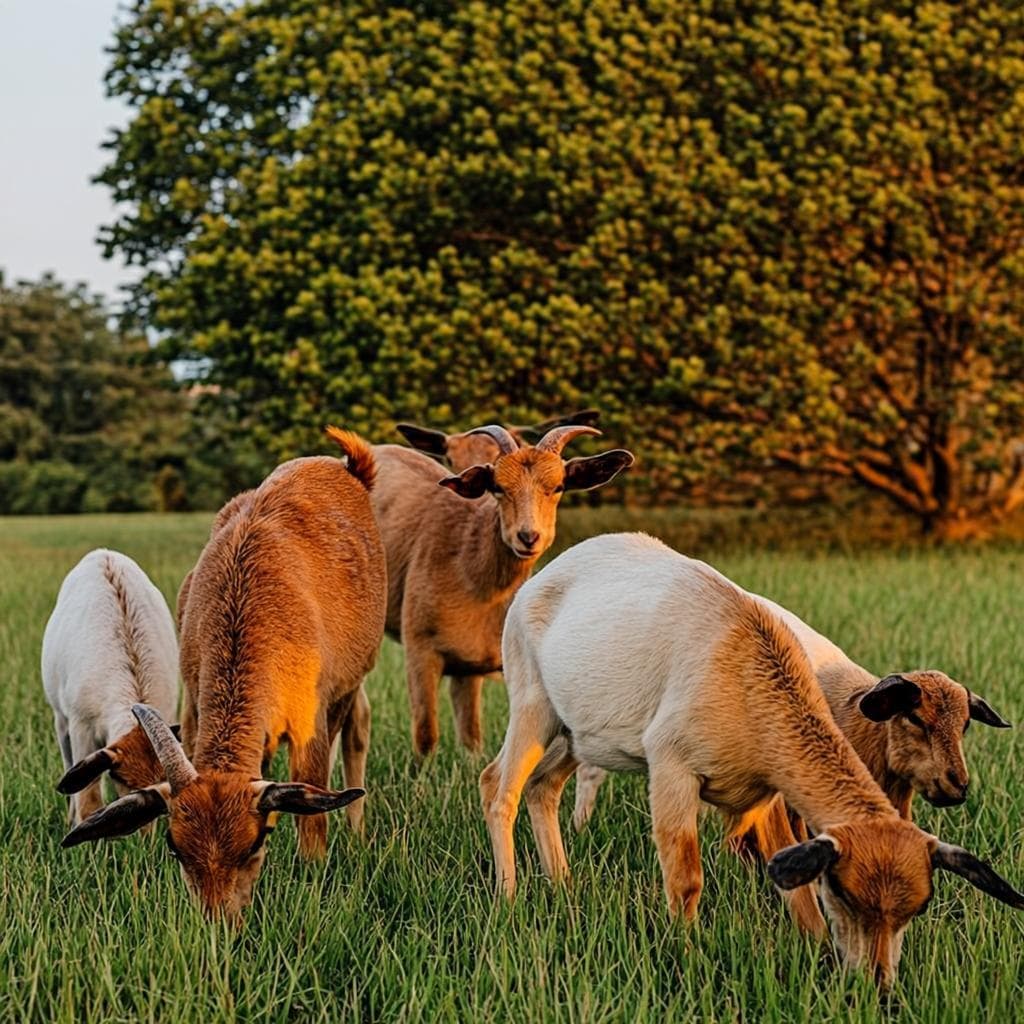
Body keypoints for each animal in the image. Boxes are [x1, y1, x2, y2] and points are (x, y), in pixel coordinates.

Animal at [44, 549, 179, 826]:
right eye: (121, 777)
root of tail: (103, 552)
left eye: (163, 779)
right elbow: (88, 799)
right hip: (60, 718)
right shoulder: (81, 725)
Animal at [61, 429, 387, 921]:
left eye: (255, 843)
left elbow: (313, 795)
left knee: (356, 727)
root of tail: (348, 468)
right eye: (175, 847)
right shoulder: (193, 703)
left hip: (352, 681)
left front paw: (314, 867)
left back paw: (356, 829)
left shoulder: (311, 716)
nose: (219, 924)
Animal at [372, 423, 633, 757]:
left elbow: (479, 738)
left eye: (559, 486)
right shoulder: (419, 645)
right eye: (497, 486)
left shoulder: (481, 663)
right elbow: (426, 735)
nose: (528, 536)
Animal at [482, 533, 1024, 987]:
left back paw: (563, 887)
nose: (878, 985)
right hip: (532, 701)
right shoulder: (673, 765)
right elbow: (686, 880)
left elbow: (793, 888)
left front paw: (815, 951)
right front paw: (687, 956)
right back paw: (508, 897)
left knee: (543, 787)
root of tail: (545, 574)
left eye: (918, 908)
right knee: (497, 785)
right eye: (844, 893)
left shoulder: (765, 793)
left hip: (581, 733)